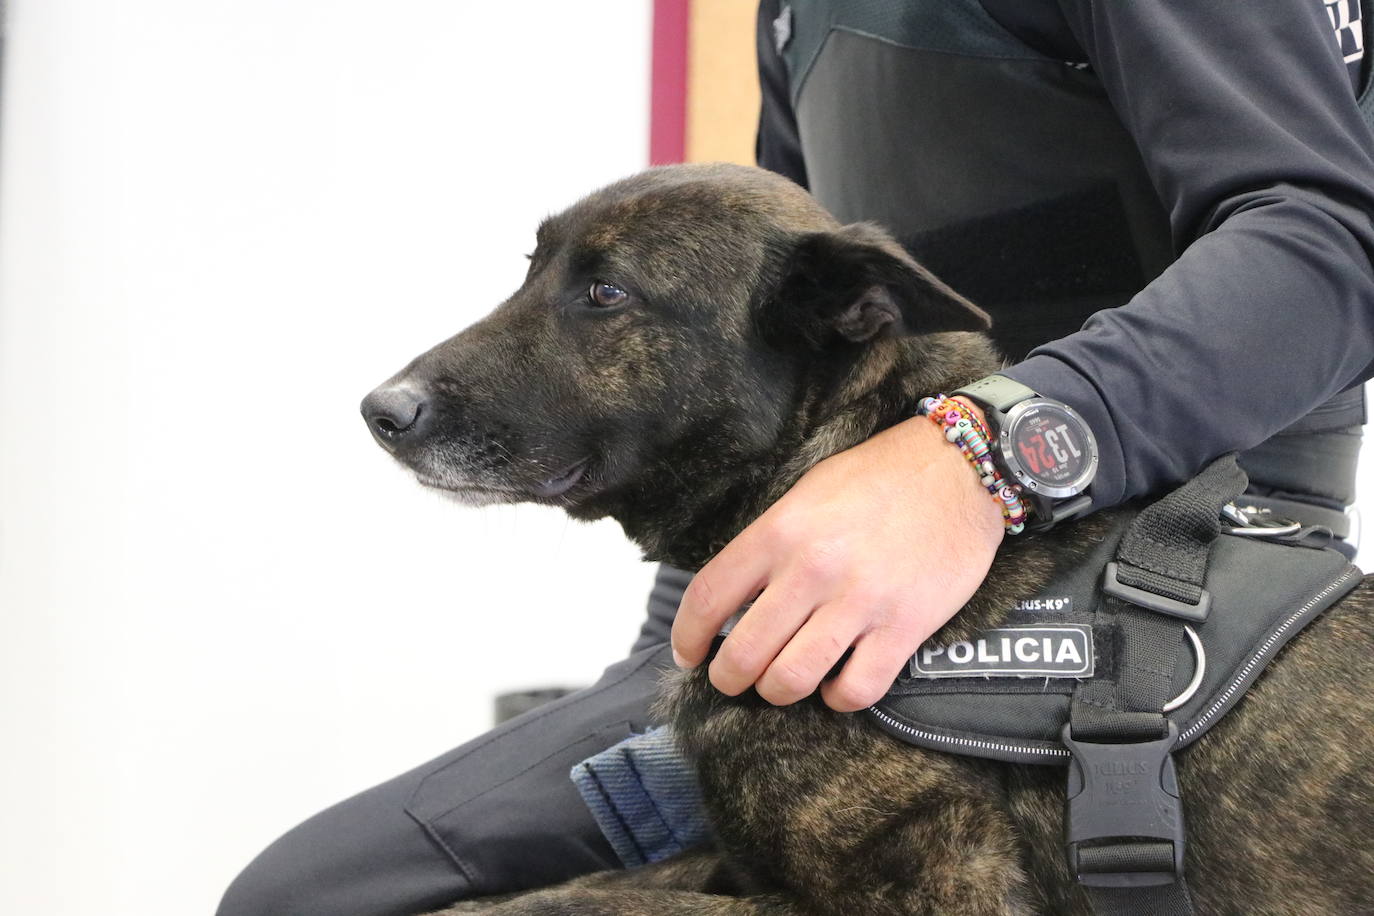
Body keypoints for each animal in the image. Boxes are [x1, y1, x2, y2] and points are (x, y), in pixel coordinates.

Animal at [357, 164, 1374, 916]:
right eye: (531, 269)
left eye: (605, 291)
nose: (380, 412)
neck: (818, 456)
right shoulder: (733, 860)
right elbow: (600, 881)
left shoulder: (921, 896)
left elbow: (574, 902)